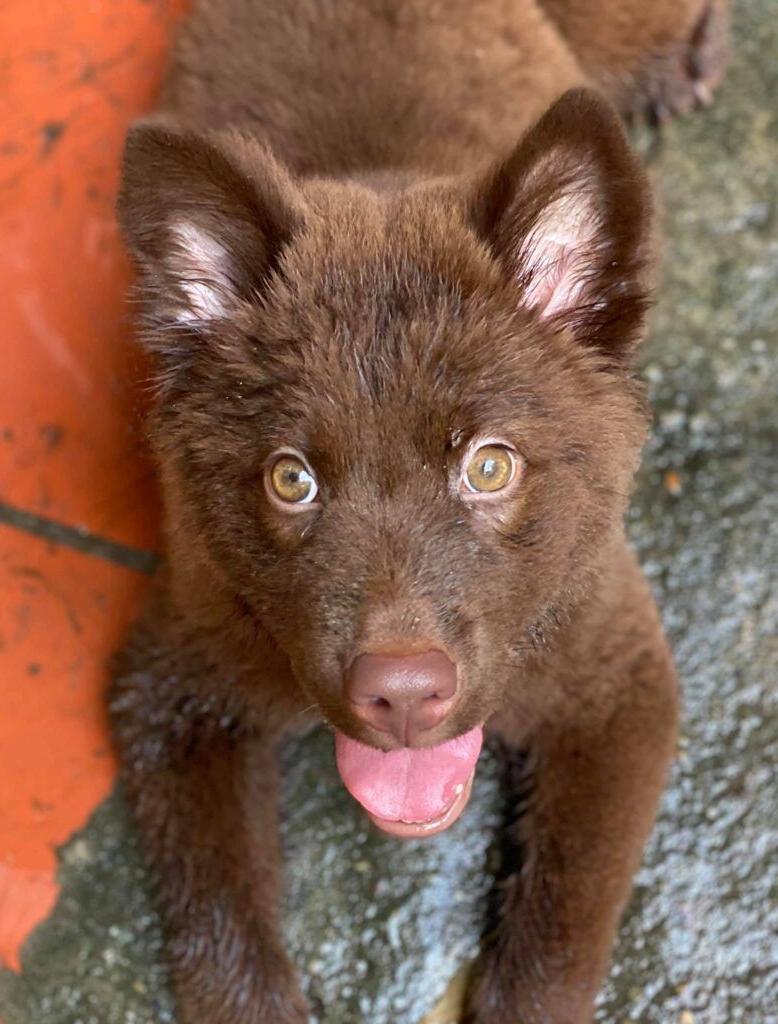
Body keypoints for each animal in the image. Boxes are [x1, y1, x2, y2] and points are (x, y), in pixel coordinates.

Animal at [109, 2, 728, 1024]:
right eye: (291, 480)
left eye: (490, 466)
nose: (401, 696)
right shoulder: (172, 674)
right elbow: (217, 918)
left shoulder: (616, 673)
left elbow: (559, 929)